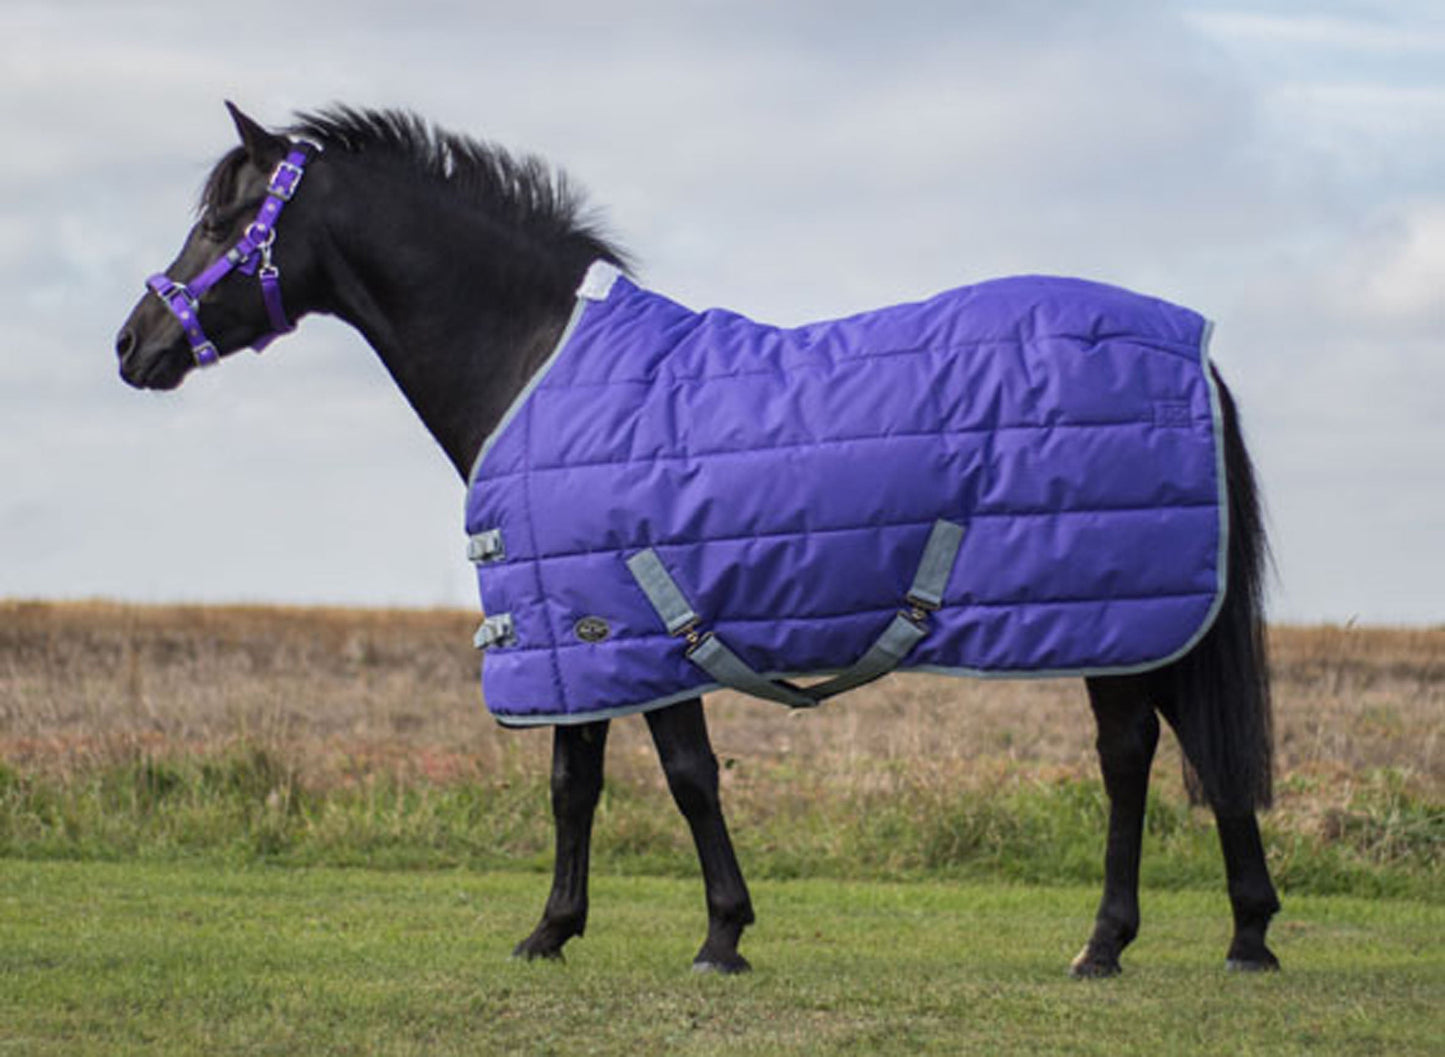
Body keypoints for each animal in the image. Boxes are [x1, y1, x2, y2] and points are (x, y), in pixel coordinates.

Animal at [115, 103, 1281, 976]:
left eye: (222, 219)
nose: (134, 344)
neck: (533, 360)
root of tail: (1188, 344)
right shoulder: (579, 631)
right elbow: (575, 781)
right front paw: (553, 930)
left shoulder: (631, 623)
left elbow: (682, 774)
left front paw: (720, 933)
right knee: (1198, 745)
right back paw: (1247, 930)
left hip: (1115, 619)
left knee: (1130, 756)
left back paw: (1111, 942)